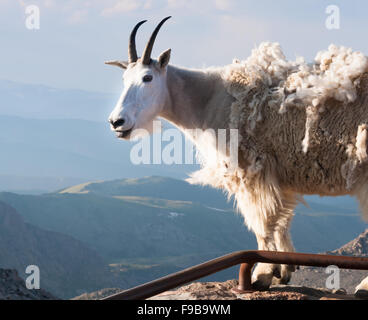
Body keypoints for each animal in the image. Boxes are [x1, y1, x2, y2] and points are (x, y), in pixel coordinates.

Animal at [105, 16, 368, 294]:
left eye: (147, 77)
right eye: (124, 78)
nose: (117, 122)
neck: (207, 100)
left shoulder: (252, 172)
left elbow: (262, 224)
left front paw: (262, 275)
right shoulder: (280, 178)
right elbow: (282, 222)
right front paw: (284, 271)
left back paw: (363, 285)